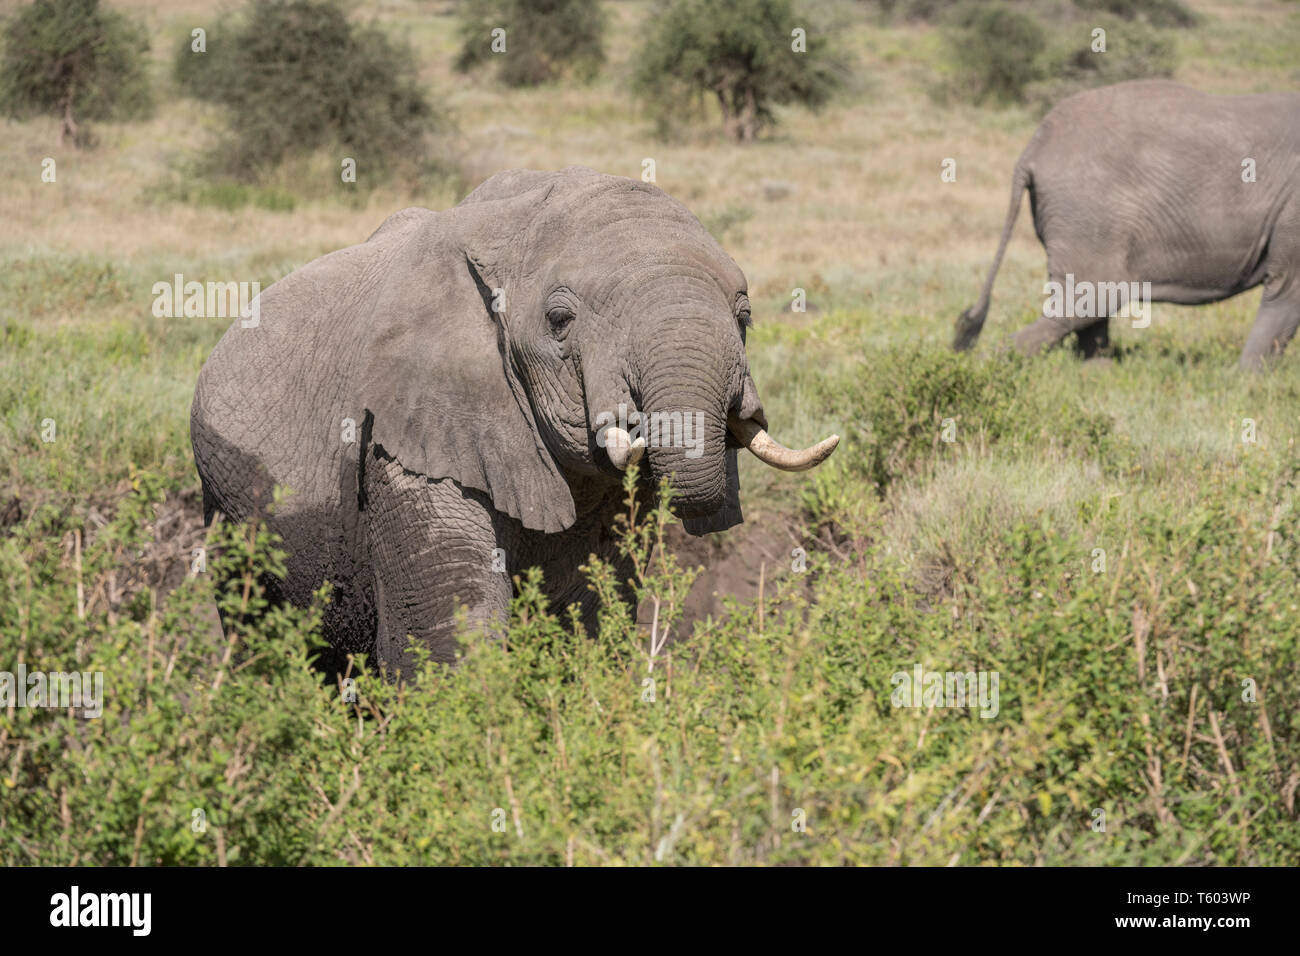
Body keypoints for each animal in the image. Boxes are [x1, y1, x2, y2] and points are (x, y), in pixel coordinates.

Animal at [192, 164, 842, 671]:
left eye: (745, 317)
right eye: (559, 321)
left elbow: (590, 613)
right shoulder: (411, 430)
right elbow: (454, 630)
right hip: (226, 503)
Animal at [956, 79, 1300, 366]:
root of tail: (1034, 146)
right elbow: (1287, 290)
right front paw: (1248, 383)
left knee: (1088, 307)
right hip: (1087, 214)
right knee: (1088, 304)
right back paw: (978, 370)